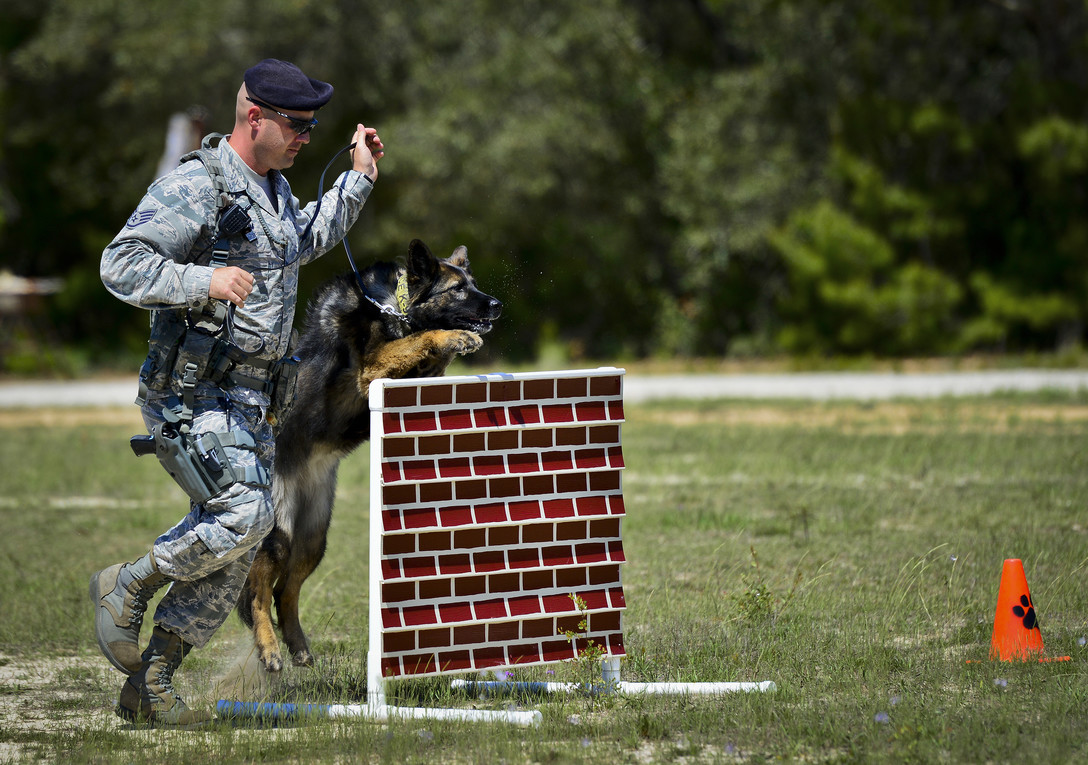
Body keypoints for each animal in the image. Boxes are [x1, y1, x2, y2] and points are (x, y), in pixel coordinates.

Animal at [238, 238, 500, 670]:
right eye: (458, 289)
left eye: (474, 284)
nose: (496, 305)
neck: (394, 305)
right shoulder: (372, 369)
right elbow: (415, 341)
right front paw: (453, 337)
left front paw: (454, 340)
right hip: (280, 531)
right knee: (259, 593)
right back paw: (270, 650)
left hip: (314, 537)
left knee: (284, 592)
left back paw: (299, 648)